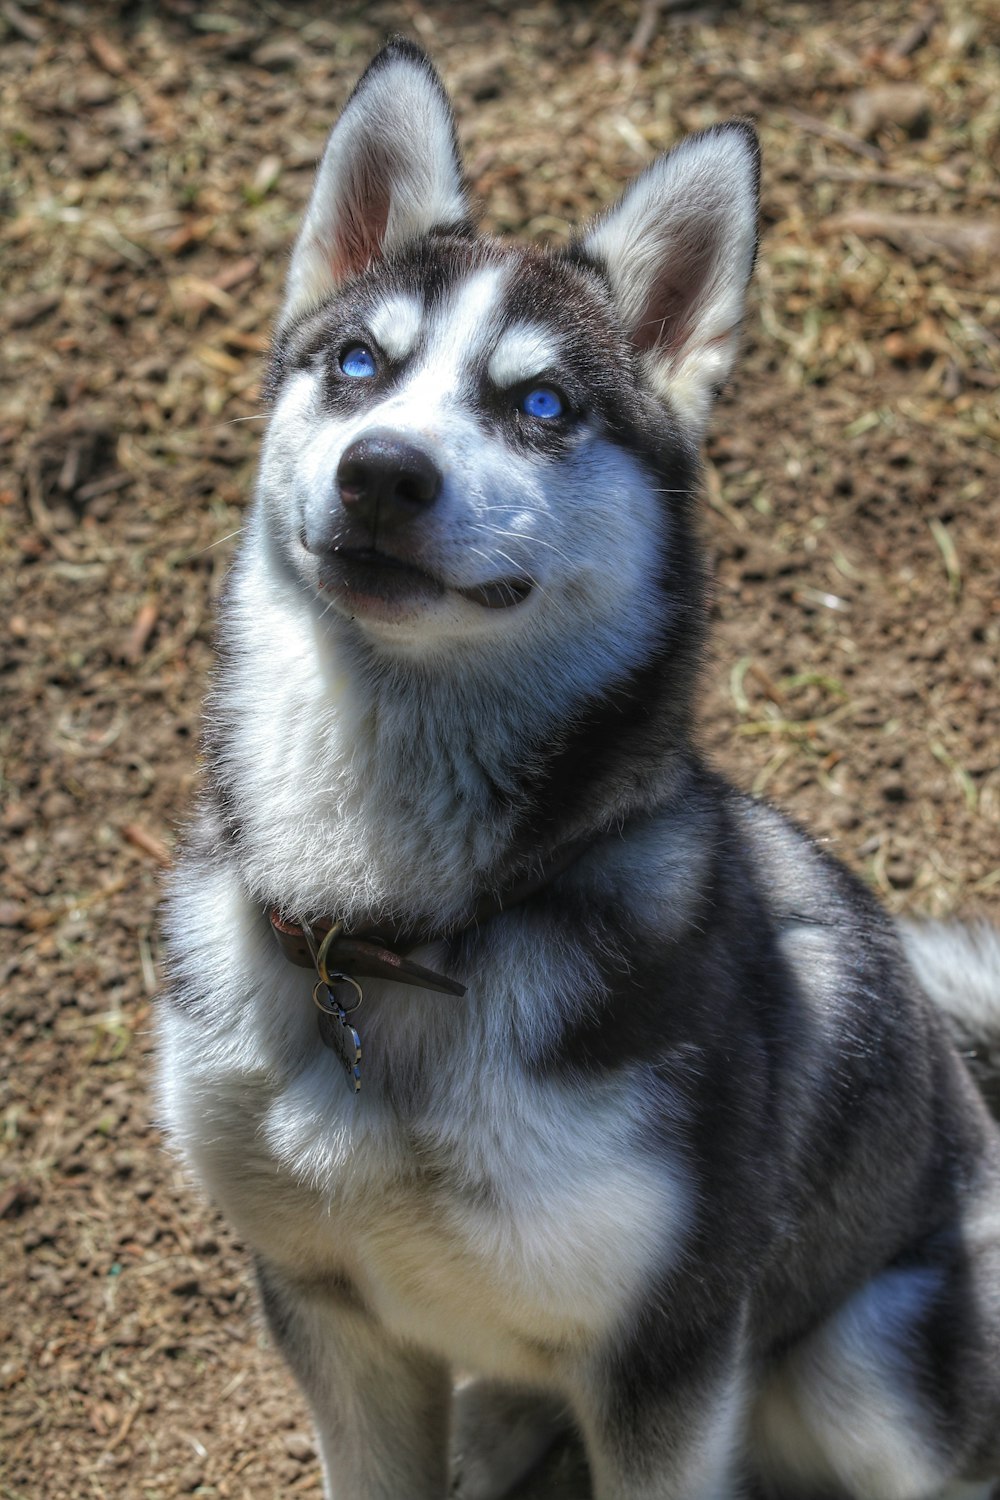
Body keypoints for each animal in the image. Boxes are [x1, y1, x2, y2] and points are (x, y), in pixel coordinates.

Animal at [156, 41, 1000, 1500]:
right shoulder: (324, 1307)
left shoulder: (671, 1343)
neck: (393, 934)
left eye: (540, 404)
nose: (382, 472)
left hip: (867, 1361)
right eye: (357, 365)